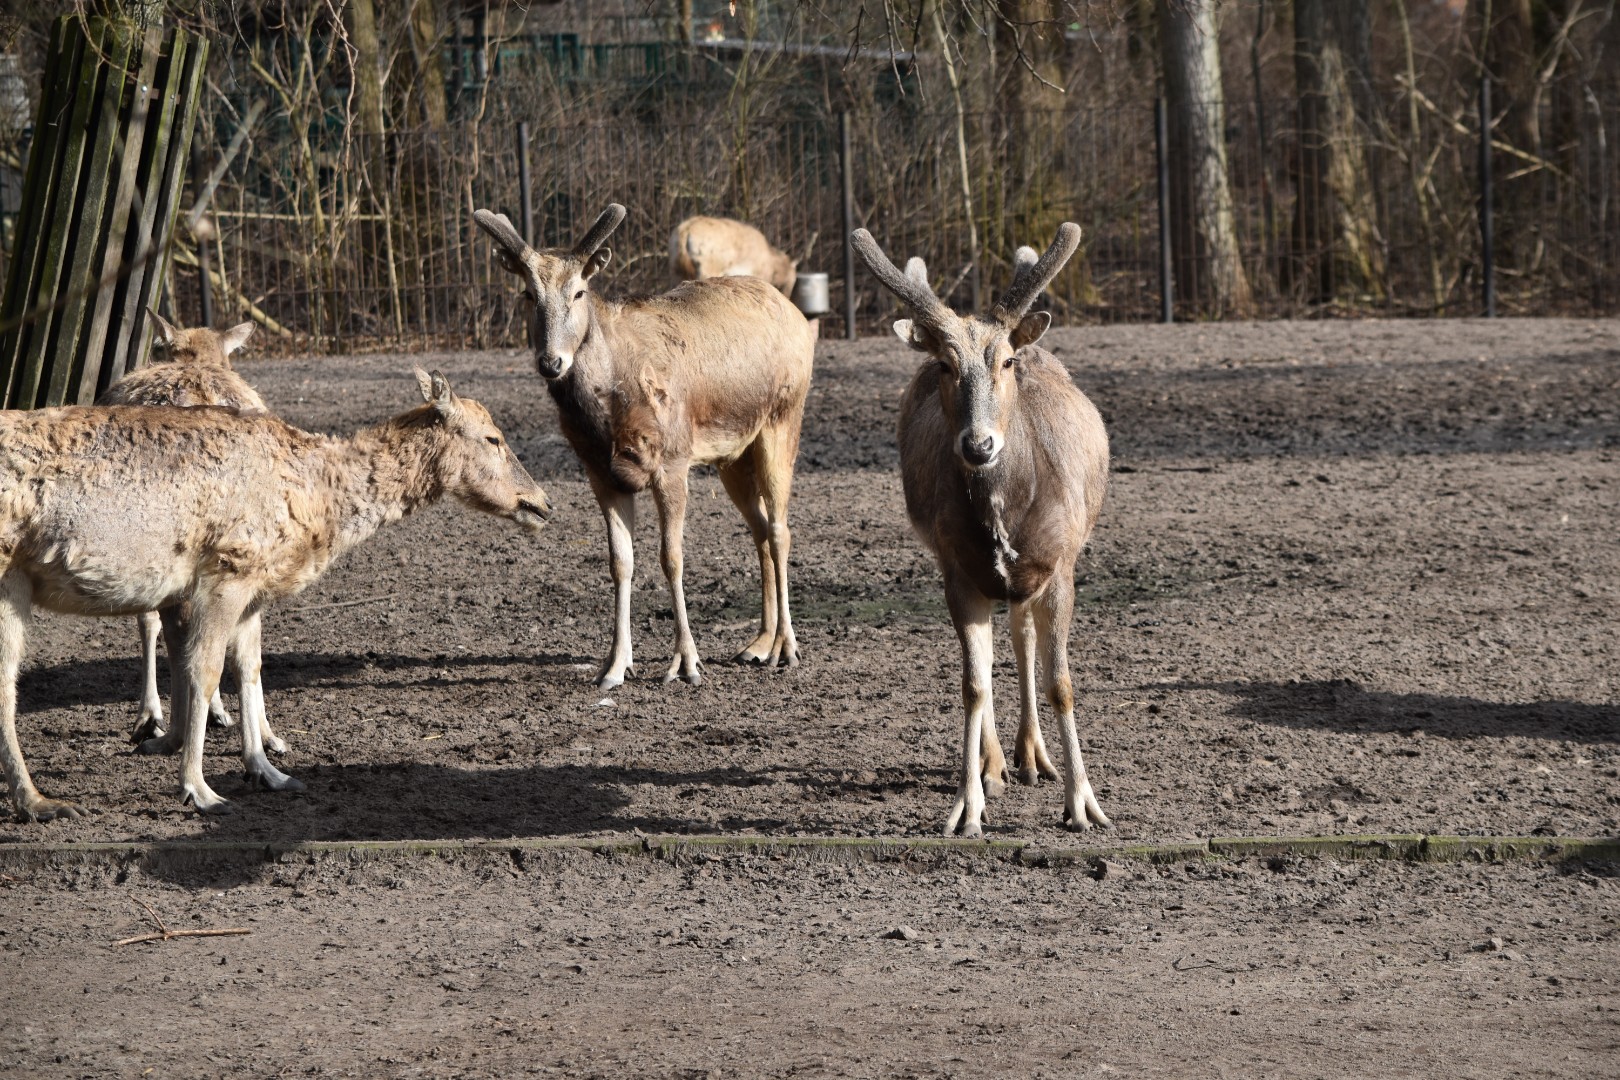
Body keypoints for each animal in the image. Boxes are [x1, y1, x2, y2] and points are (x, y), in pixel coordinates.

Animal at [0, 370, 550, 821]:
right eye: (493, 437)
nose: (543, 503)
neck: (318, 503)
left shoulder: (253, 588)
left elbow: (250, 667)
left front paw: (267, 771)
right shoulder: (226, 570)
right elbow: (205, 671)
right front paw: (198, 789)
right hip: (8, 577)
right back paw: (41, 801)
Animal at [97, 310, 285, 752]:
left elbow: (149, 622)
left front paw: (150, 717)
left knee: (178, 627)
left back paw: (173, 732)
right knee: (241, 633)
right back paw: (267, 735)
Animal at [475, 203, 814, 688]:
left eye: (579, 292)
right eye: (526, 293)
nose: (551, 362)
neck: (608, 416)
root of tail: (799, 317)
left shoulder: (672, 462)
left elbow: (671, 557)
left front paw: (686, 663)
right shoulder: (601, 473)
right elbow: (620, 562)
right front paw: (615, 665)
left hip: (783, 419)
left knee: (781, 529)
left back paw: (785, 648)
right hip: (733, 454)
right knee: (761, 529)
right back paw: (758, 643)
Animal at [850, 224, 1111, 838]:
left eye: (1008, 361)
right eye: (947, 366)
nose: (979, 445)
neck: (1004, 512)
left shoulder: (1061, 564)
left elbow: (1060, 682)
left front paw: (1084, 804)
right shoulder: (956, 568)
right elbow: (973, 683)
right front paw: (967, 808)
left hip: (1029, 576)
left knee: (1021, 637)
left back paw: (1033, 756)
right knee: (994, 655)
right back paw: (997, 765)